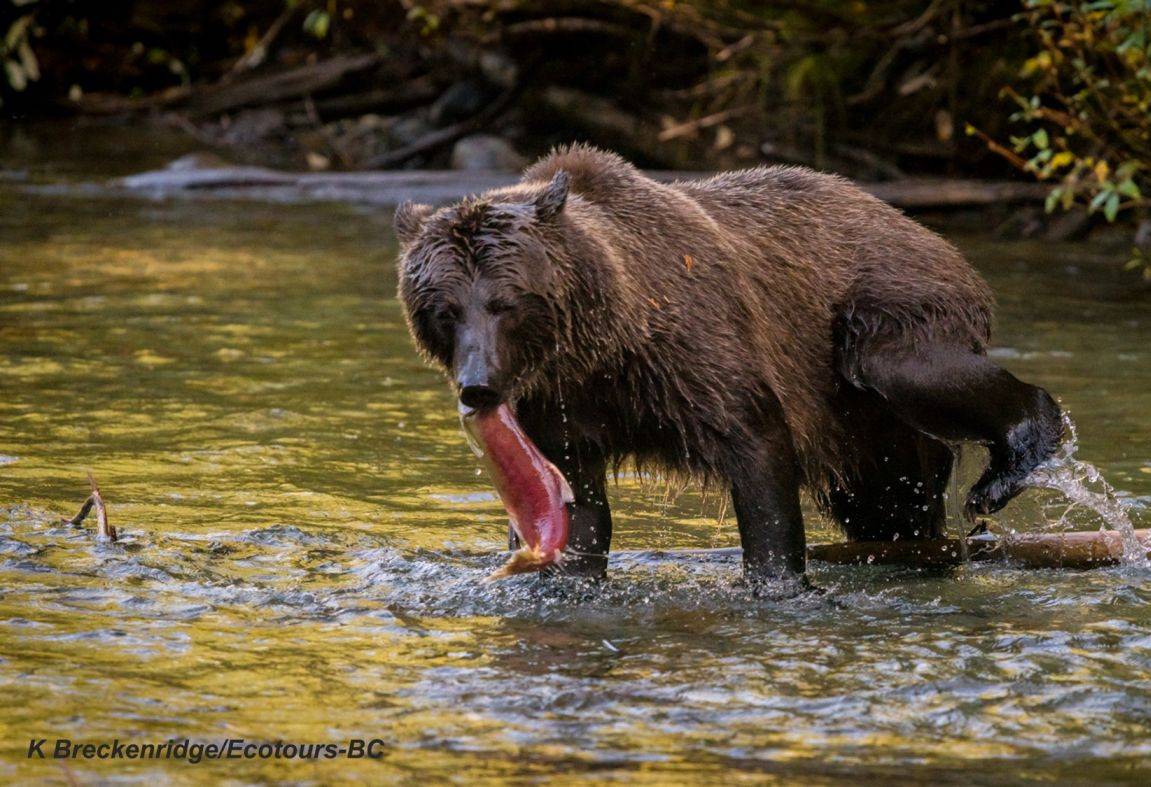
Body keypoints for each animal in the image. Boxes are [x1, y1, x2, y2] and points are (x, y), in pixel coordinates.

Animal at [394, 144, 1063, 584]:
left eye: (503, 302)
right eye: (443, 309)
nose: (478, 386)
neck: (606, 343)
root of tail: (920, 227)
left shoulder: (695, 354)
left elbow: (758, 457)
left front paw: (778, 581)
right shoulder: (560, 407)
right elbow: (579, 507)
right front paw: (568, 576)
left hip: (882, 310)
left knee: (909, 372)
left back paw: (1008, 467)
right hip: (865, 431)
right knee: (889, 501)